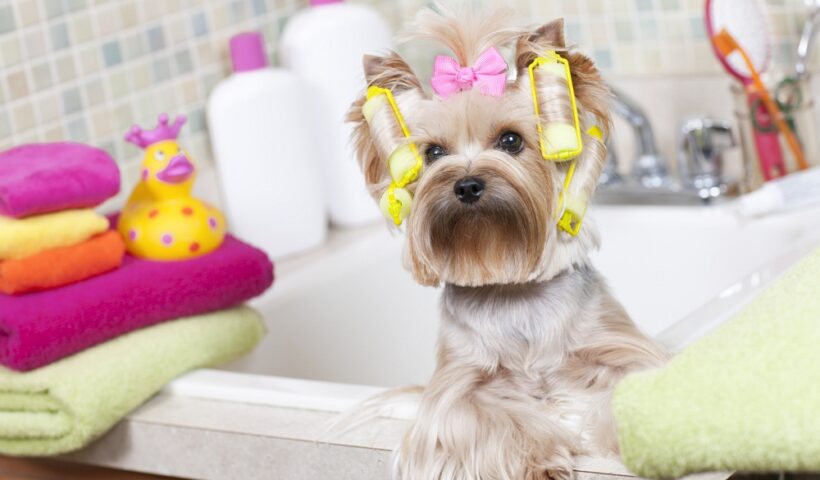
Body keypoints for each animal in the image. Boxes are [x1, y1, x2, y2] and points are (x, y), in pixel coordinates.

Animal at [348, 5, 667, 479]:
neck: (509, 284)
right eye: (433, 153)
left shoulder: (621, 345)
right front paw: (541, 461)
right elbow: (479, 416)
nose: (466, 185)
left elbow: (640, 375)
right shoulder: (457, 384)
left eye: (511, 140)